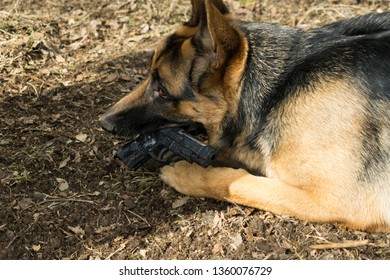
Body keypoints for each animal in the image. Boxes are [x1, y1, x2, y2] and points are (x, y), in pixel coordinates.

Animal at [101, 0, 390, 232]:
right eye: (149, 75)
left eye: (161, 91)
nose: (104, 122)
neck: (278, 92)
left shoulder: (334, 200)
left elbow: (235, 182)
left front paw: (186, 173)